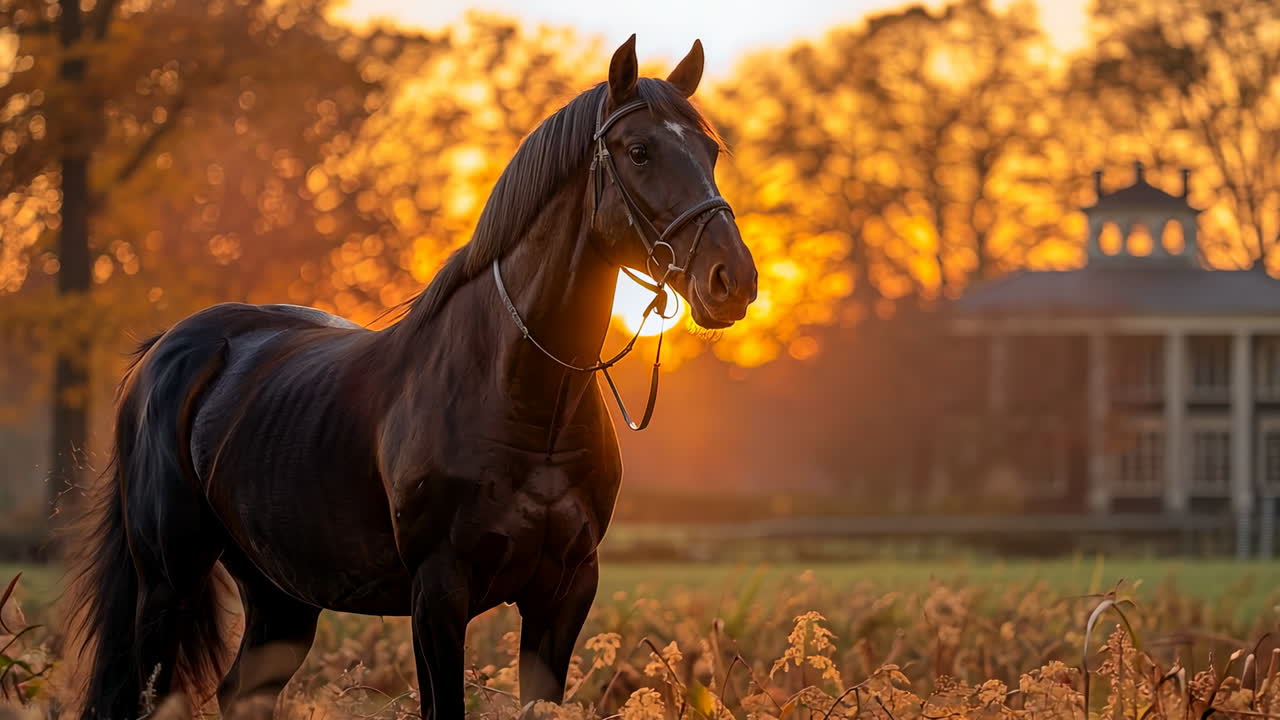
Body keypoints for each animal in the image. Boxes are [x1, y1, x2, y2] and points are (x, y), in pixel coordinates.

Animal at [69, 35, 757, 720]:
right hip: (168, 580)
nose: (735, 280)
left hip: (279, 593)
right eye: (639, 151)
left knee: (241, 692)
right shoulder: (438, 591)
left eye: (709, 153)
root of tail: (165, 351)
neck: (522, 394)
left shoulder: (563, 593)